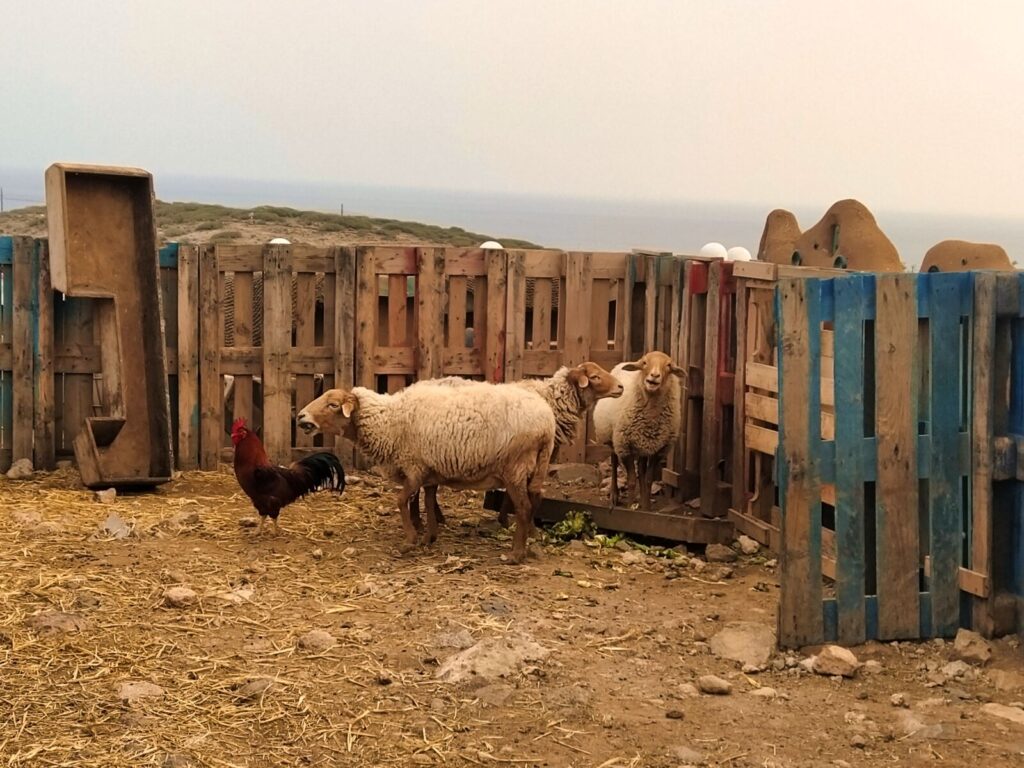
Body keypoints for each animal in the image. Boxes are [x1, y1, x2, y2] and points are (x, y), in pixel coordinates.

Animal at [292, 382, 557, 561]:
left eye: (333, 405)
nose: (301, 416)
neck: (389, 422)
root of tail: (547, 422)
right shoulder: (430, 471)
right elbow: (429, 503)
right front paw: (430, 537)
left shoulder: (415, 467)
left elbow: (401, 501)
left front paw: (410, 541)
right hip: (536, 466)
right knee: (537, 498)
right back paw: (532, 538)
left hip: (515, 466)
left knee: (523, 507)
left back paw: (516, 554)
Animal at [589, 354, 684, 512]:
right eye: (644, 363)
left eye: (669, 365)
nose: (654, 375)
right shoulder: (625, 446)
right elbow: (632, 480)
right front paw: (630, 507)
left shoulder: (659, 449)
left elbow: (648, 479)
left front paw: (646, 508)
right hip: (613, 438)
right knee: (614, 461)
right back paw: (614, 496)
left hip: (642, 445)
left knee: (641, 466)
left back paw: (642, 499)